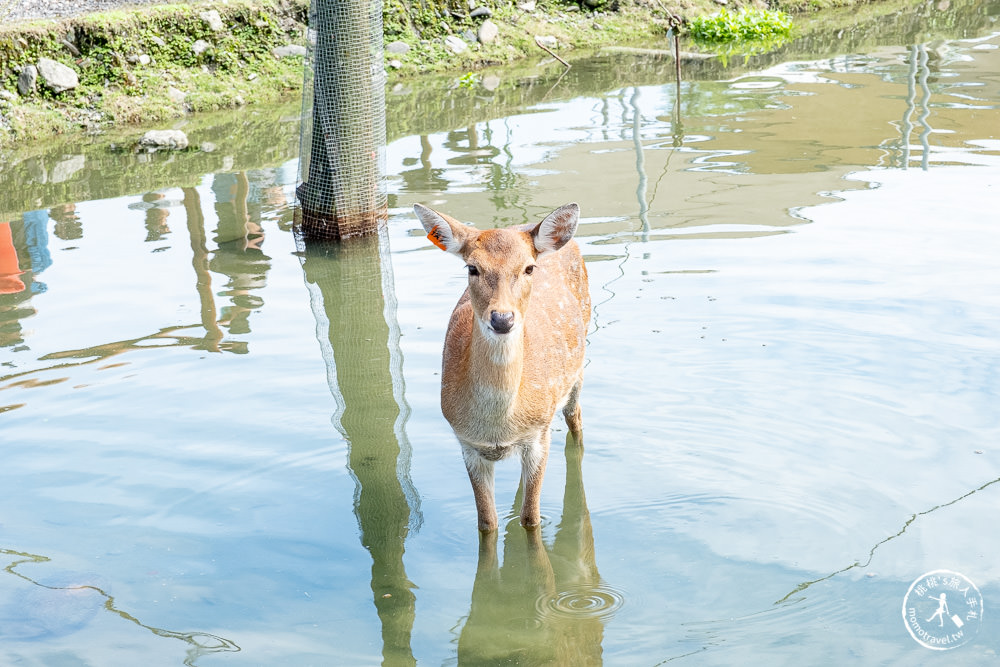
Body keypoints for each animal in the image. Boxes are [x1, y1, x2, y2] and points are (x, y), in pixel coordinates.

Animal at [416, 202, 592, 532]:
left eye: (529, 268)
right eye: (472, 268)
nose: (502, 318)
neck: (499, 425)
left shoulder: (539, 434)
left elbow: (531, 518)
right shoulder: (467, 443)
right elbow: (487, 521)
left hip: (578, 368)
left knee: (575, 419)